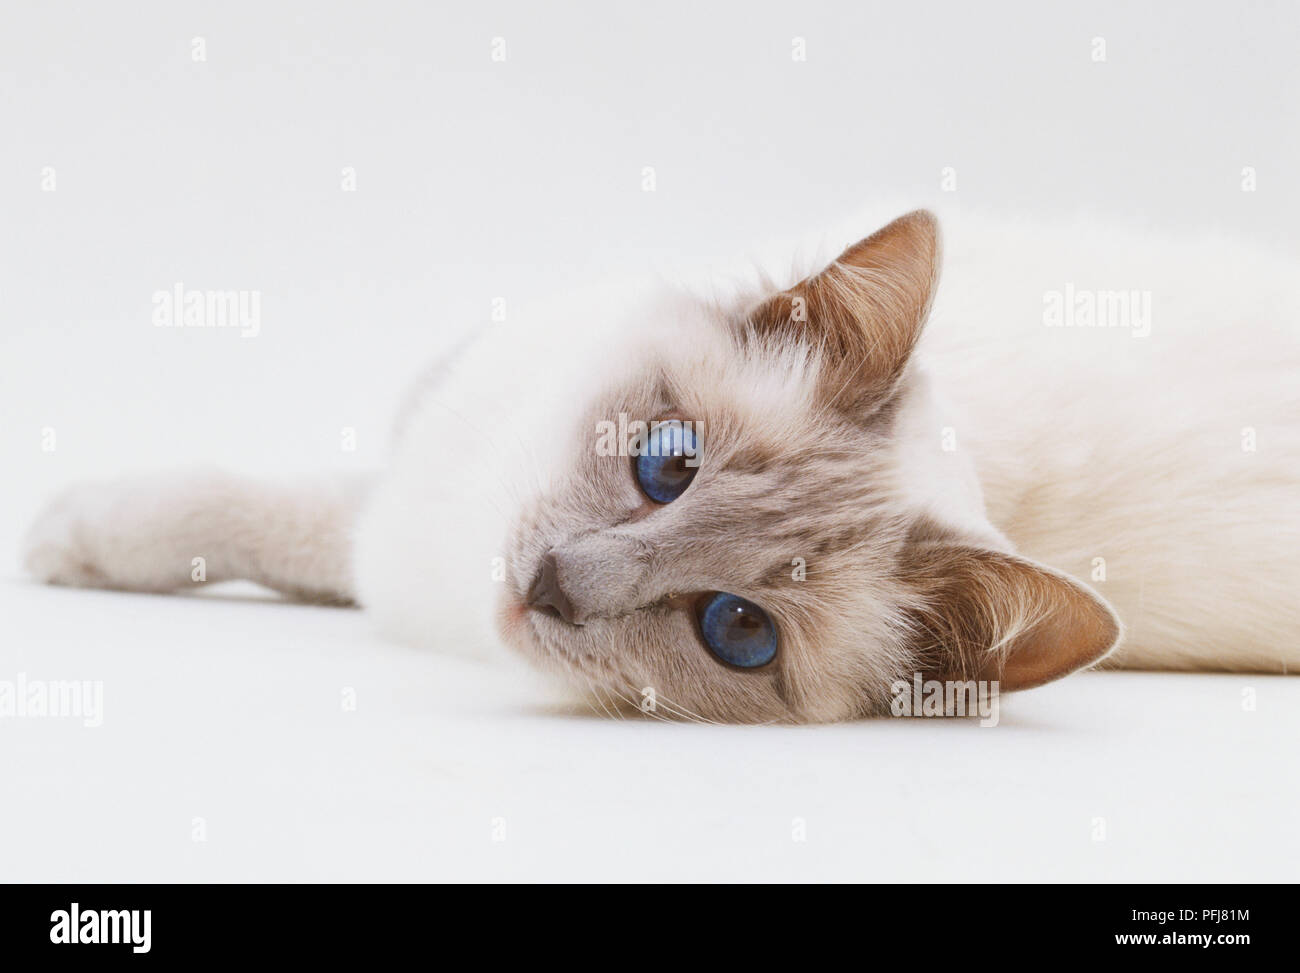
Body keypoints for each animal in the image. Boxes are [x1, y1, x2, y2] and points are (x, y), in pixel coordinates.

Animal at [22, 206, 1300, 723]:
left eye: (735, 630)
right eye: (665, 467)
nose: (549, 585)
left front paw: (62, 537)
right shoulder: (412, 509)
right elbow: (243, 507)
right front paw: (73, 537)